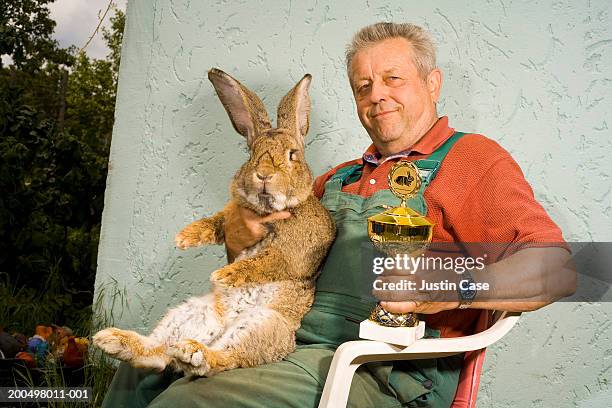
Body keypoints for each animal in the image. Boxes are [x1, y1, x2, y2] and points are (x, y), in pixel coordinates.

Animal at [92, 67, 334, 376]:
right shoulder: (232, 215)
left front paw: (225, 275)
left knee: (221, 359)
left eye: (293, 154)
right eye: (251, 153)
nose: (263, 174)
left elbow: (264, 261)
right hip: (188, 313)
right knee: (158, 354)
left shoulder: (293, 253)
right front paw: (185, 237)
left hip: (262, 325)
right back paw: (112, 339)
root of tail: (220, 329)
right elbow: (216, 222)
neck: (267, 212)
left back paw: (193, 352)